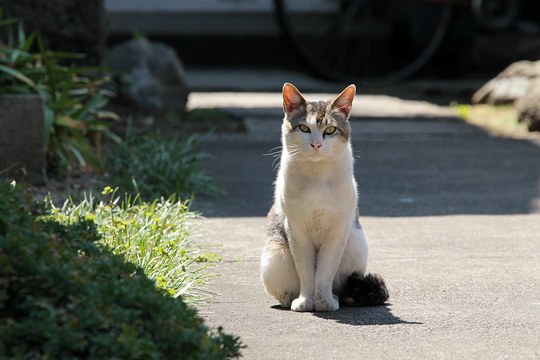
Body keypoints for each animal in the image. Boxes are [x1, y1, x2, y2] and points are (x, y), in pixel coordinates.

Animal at [258, 83, 388, 310]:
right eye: (304, 128)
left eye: (330, 130)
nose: (316, 145)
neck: (317, 178)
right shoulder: (296, 231)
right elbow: (306, 272)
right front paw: (305, 300)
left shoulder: (337, 232)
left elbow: (325, 272)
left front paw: (325, 301)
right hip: (274, 256)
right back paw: (290, 298)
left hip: (356, 245)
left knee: (342, 287)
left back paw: (337, 297)